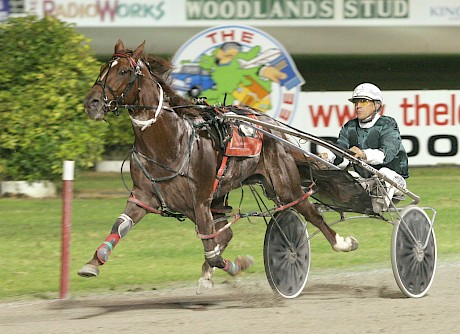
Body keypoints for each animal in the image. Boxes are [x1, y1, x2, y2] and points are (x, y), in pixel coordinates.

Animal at [79, 39, 360, 292]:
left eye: (123, 71)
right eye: (102, 68)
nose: (92, 103)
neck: (170, 142)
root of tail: (269, 126)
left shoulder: (200, 200)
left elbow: (212, 252)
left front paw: (238, 265)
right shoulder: (143, 196)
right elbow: (120, 225)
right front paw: (92, 263)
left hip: (282, 183)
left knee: (308, 209)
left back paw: (342, 243)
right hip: (218, 198)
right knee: (225, 234)